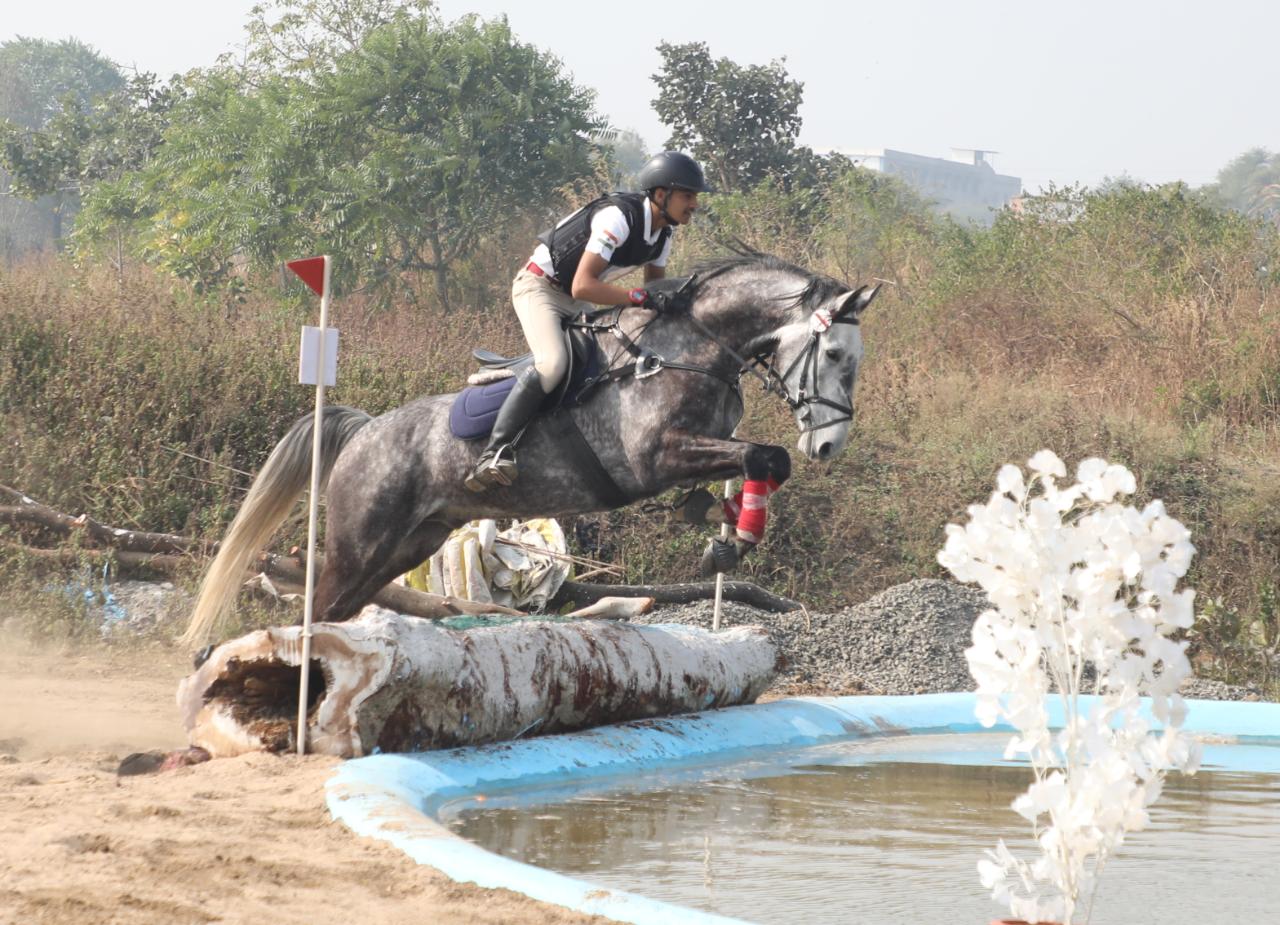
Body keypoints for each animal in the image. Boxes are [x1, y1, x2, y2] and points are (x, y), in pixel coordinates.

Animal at [180, 252, 880, 644]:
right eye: (834, 355)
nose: (829, 445)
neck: (692, 347)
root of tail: (365, 431)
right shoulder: (654, 458)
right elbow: (767, 455)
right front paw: (732, 537)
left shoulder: (709, 443)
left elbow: (755, 459)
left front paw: (727, 535)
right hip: (361, 541)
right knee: (322, 601)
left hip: (410, 543)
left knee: (342, 604)